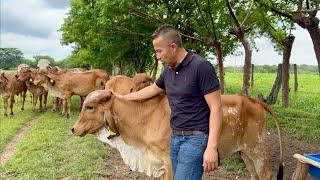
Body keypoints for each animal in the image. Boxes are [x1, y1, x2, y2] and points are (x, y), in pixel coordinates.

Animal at [73, 77, 284, 180]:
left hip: (258, 150)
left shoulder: (170, 161)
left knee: (267, 174)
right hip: (246, 153)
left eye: (89, 107)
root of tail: (254, 100)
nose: (73, 129)